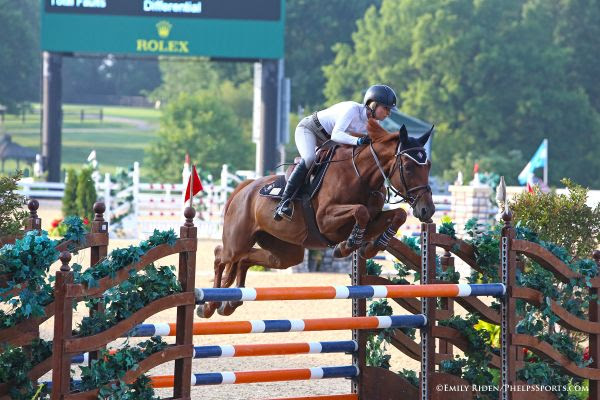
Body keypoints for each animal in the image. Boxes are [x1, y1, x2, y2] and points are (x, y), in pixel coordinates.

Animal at [198, 119, 436, 318]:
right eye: (408, 167)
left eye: (429, 166)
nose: (428, 210)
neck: (361, 175)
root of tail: (244, 188)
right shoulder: (325, 220)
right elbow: (361, 211)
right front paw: (347, 246)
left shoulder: (373, 218)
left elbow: (398, 214)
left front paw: (371, 247)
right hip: (237, 242)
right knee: (221, 255)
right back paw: (208, 306)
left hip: (285, 253)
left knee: (246, 259)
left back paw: (229, 304)